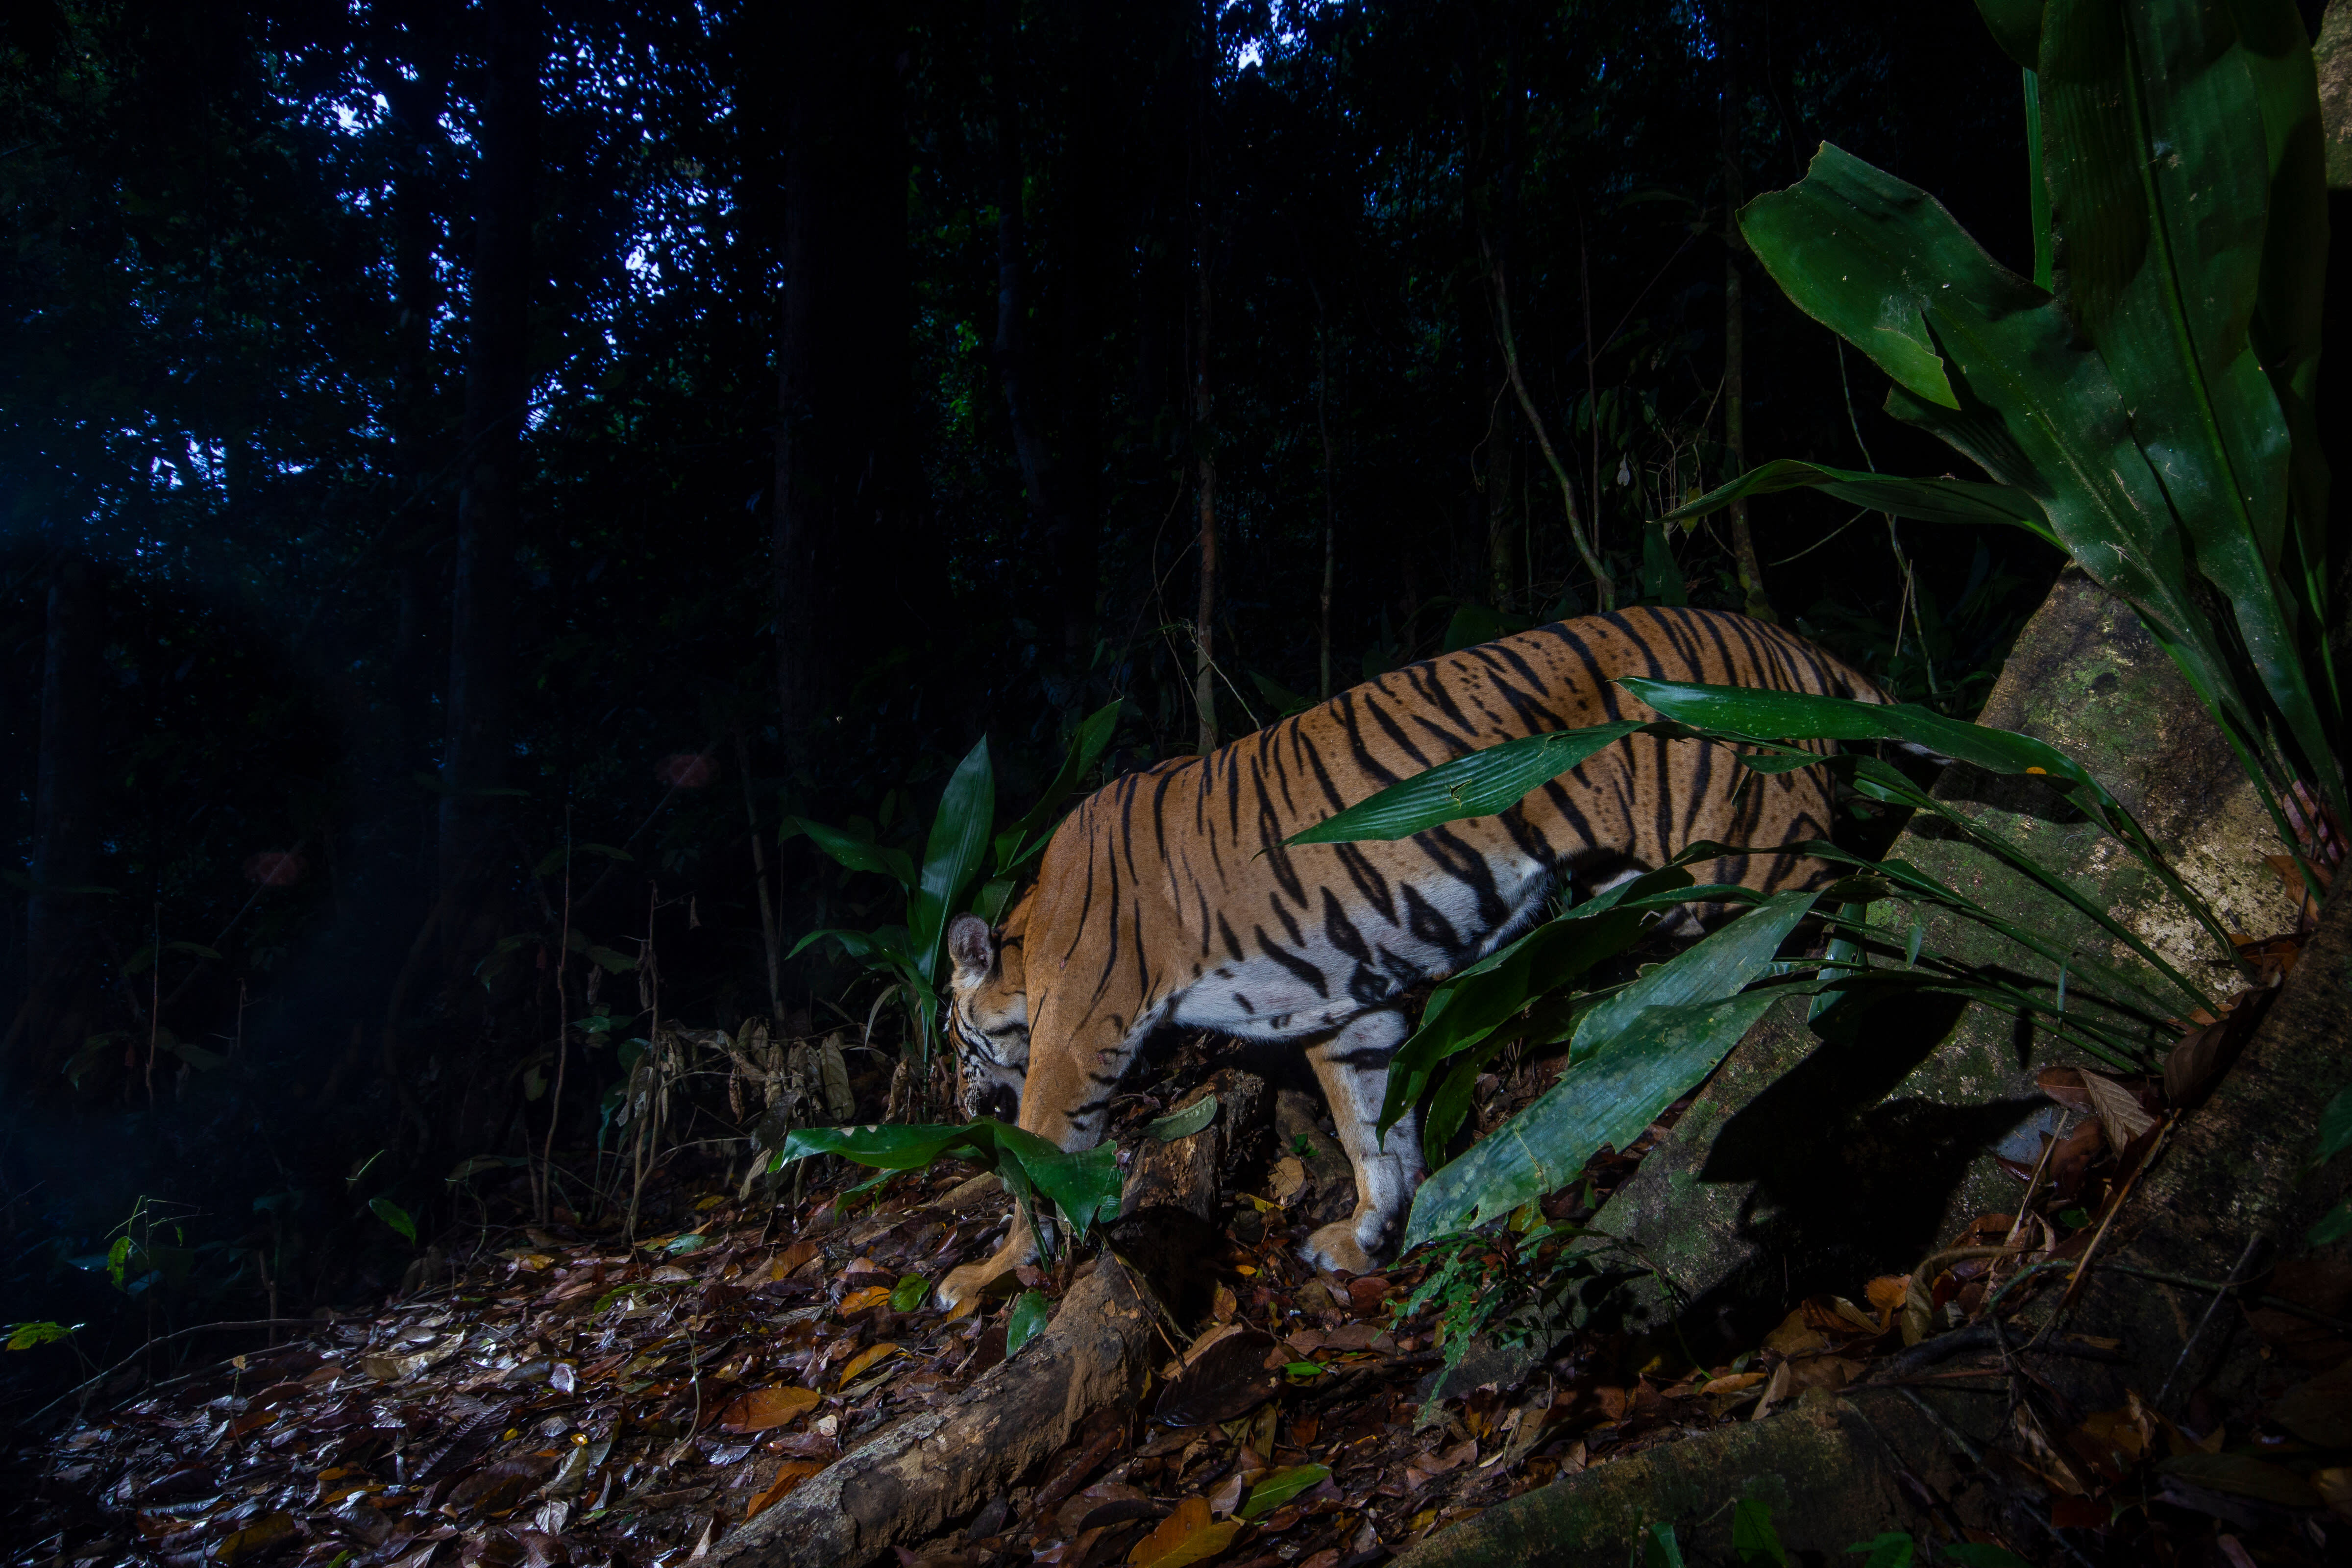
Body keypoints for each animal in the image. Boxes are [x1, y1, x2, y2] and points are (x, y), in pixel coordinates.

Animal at [936, 605, 1892, 1309]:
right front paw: (1367, 1238)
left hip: (1756, 855)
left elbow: (1036, 1166)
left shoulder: (1077, 1039)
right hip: (1663, 887)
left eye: (950, 1039)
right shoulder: (1347, 1009)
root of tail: (1782, 636)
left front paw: (985, 1275)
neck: (1029, 935)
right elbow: (1373, 1131)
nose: (958, 1106)